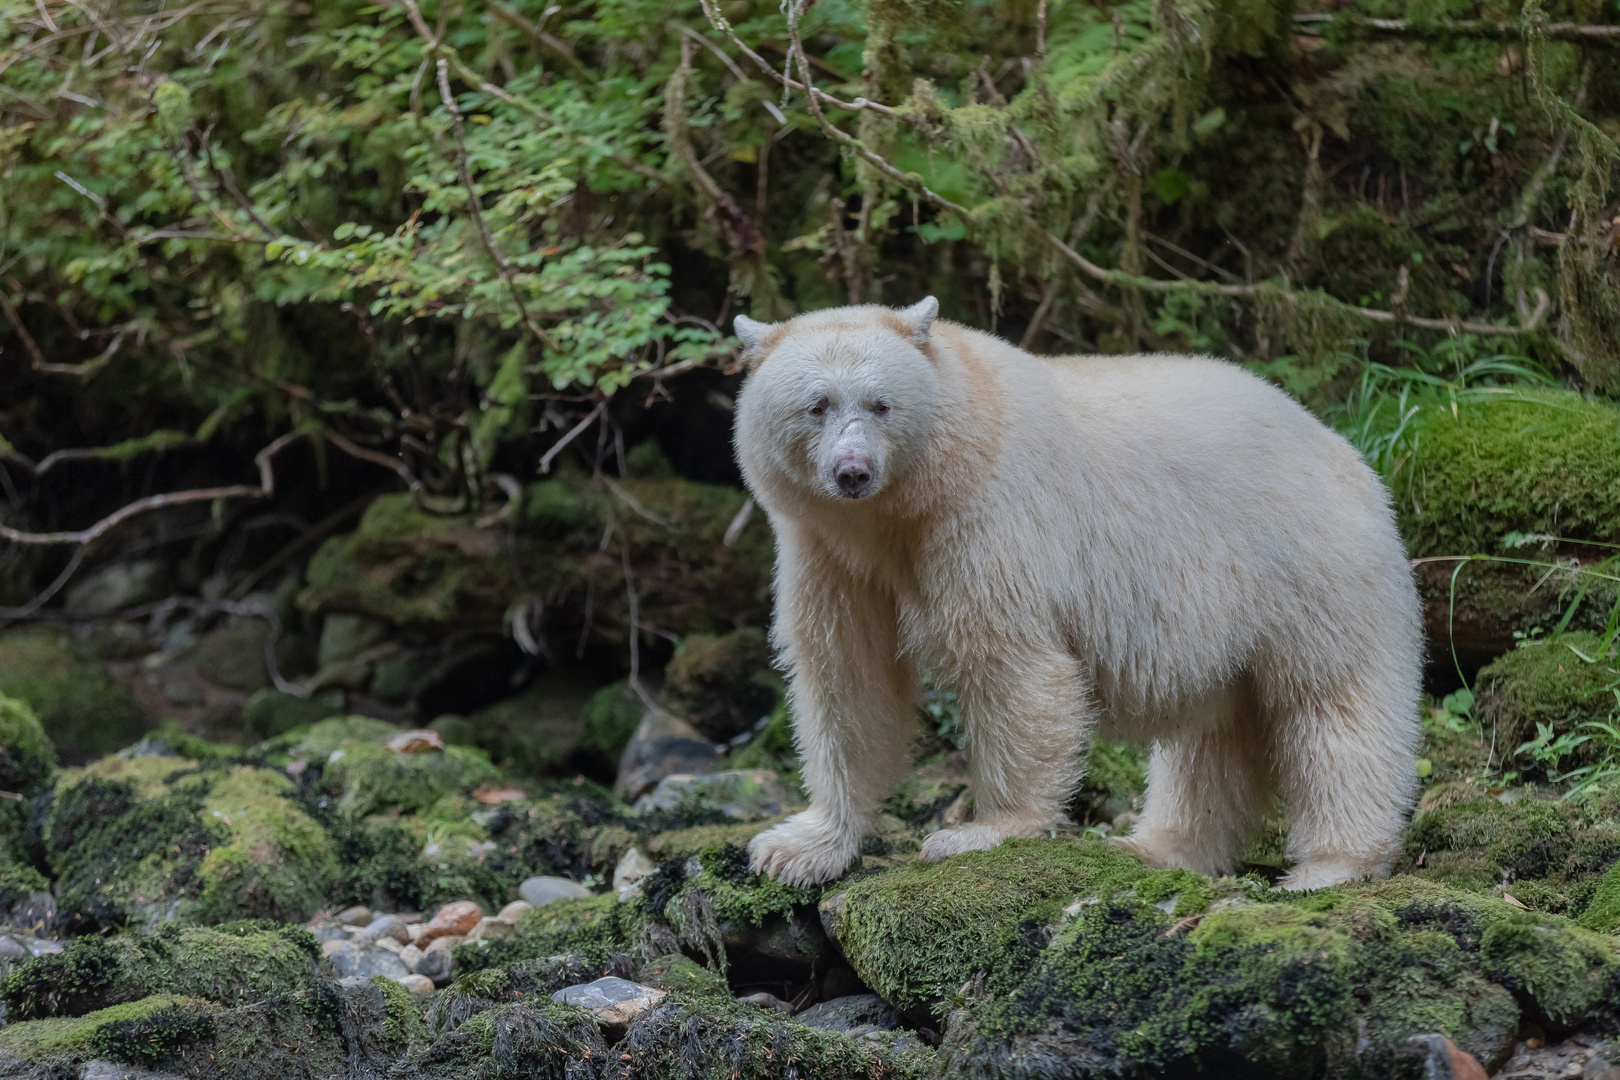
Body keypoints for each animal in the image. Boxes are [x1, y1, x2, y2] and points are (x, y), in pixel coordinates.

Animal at [732, 299, 1419, 893]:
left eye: (881, 403)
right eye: (817, 405)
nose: (853, 471)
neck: (903, 509)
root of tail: (1350, 456)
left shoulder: (986, 518)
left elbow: (1012, 662)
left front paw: (980, 832)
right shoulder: (827, 552)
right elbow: (849, 677)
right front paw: (797, 848)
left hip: (1305, 567)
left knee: (1331, 706)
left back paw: (1332, 864)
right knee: (1210, 737)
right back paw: (1157, 845)